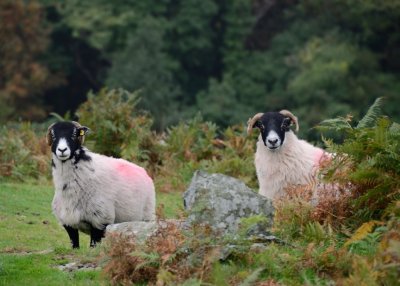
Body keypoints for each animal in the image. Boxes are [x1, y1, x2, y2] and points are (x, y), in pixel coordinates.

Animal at [45, 120, 155, 248]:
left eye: (74, 134)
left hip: (147, 217)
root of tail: (143, 171)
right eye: (53, 135)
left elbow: (93, 245)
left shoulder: (100, 220)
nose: (62, 150)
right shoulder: (68, 222)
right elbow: (74, 244)